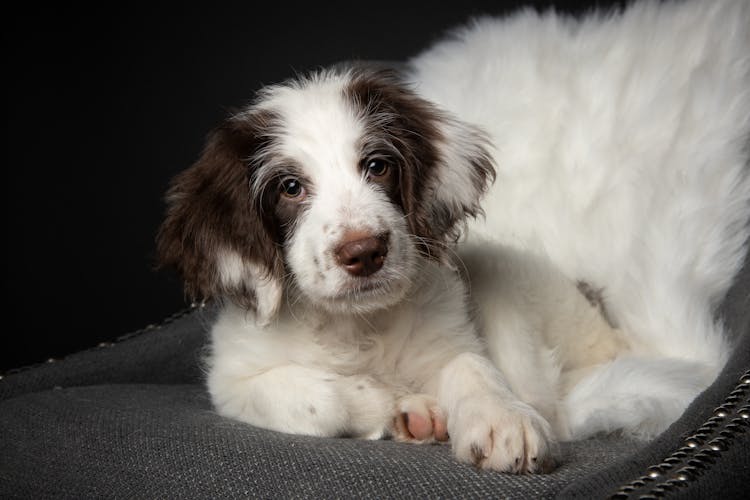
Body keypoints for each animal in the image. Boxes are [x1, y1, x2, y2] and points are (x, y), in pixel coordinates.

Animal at [156, 0, 748, 476]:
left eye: (377, 166)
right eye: (290, 187)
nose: (364, 252)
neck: (360, 328)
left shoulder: (453, 334)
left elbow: (472, 366)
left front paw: (500, 419)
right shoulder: (232, 380)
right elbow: (313, 399)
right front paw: (395, 405)